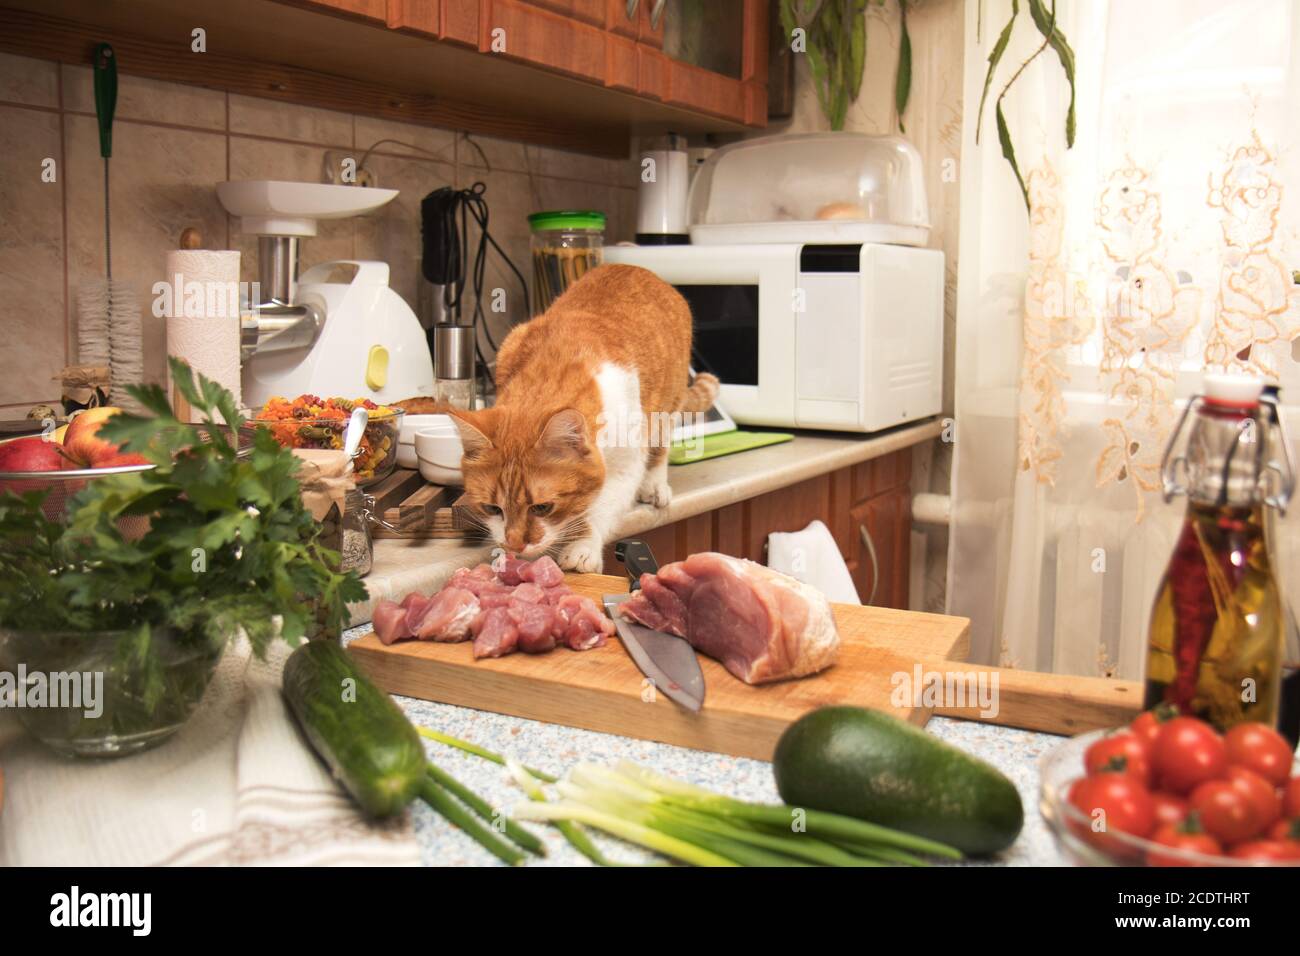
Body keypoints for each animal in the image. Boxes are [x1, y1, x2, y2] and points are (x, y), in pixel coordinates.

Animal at [449, 265, 717, 572]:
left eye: (543, 507)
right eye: (492, 509)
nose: (515, 545)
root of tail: (637, 269)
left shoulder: (625, 467)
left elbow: (595, 512)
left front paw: (582, 547)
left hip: (667, 406)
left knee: (660, 446)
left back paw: (654, 485)